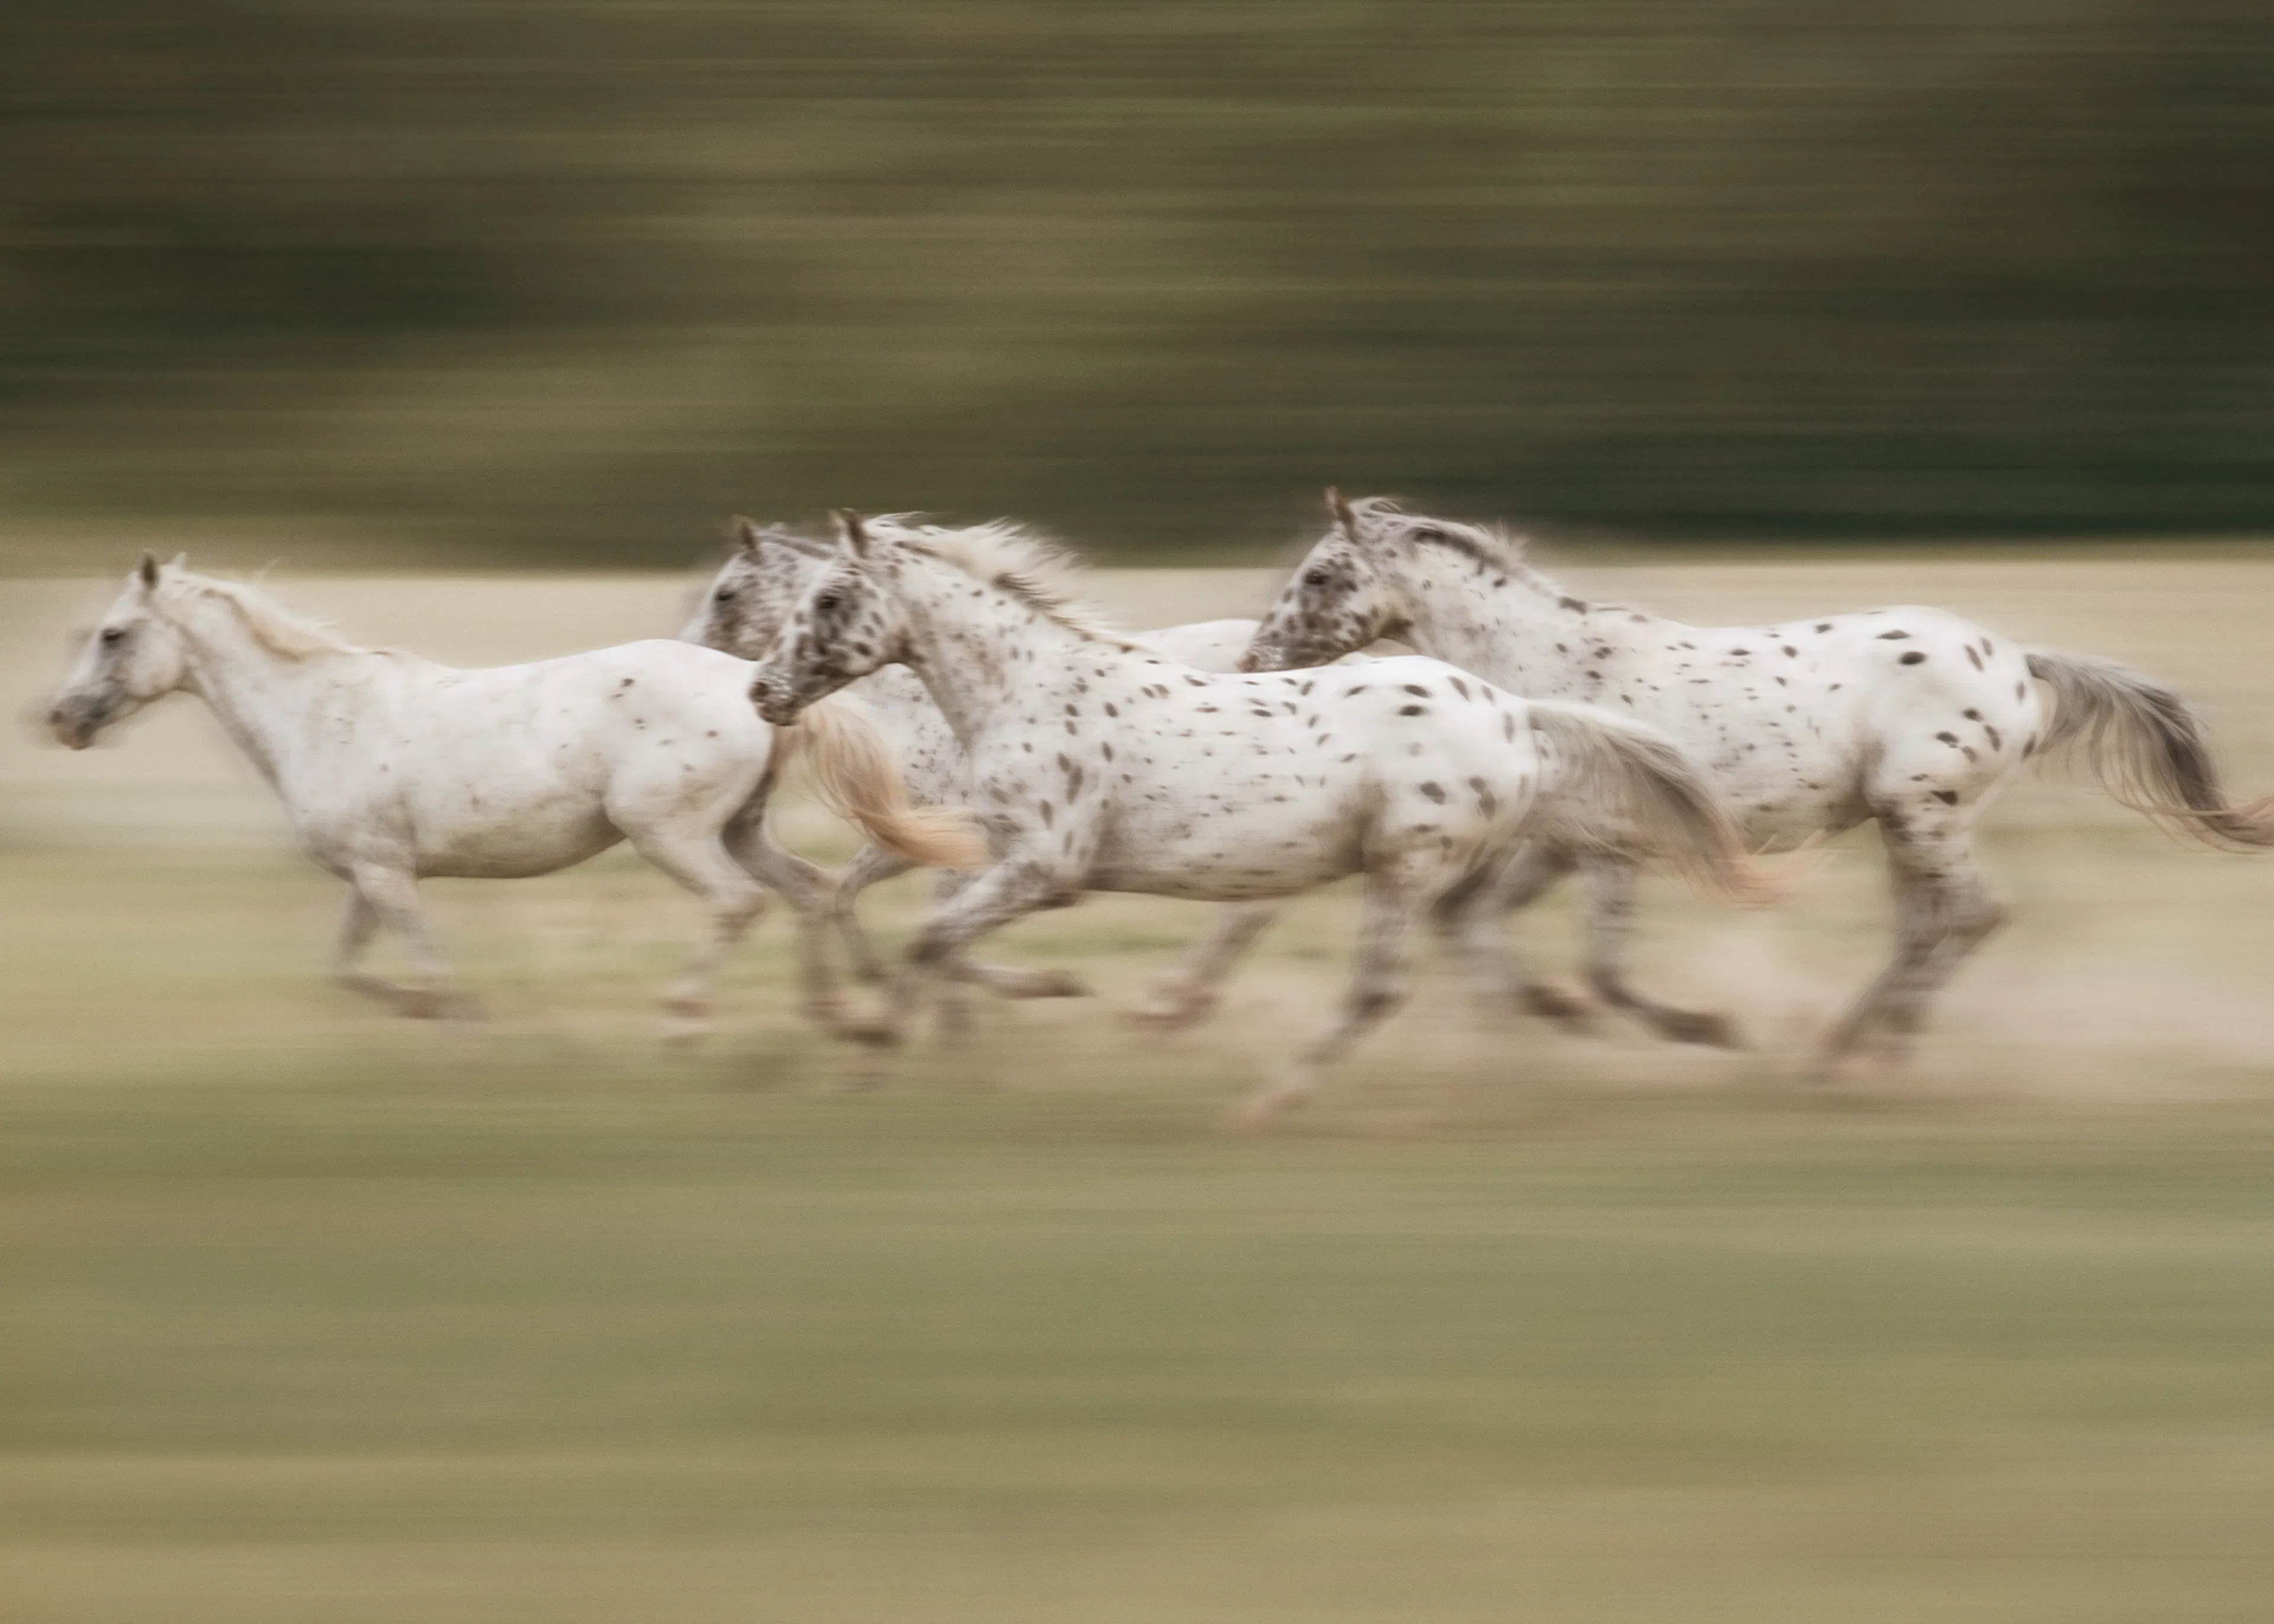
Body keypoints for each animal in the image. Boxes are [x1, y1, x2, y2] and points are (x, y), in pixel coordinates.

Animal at [47, 555, 983, 1034]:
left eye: (113, 634)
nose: (61, 718)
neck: (319, 713)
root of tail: (757, 684)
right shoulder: (371, 874)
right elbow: (351, 969)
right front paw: (449, 1012)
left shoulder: (385, 877)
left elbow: (419, 970)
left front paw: (460, 1022)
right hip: (741, 829)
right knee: (813, 892)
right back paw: (829, 1013)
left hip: (670, 833)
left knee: (738, 904)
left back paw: (686, 1015)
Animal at [683, 517, 1277, 1026]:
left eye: (726, 593)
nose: (757, 690)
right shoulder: (925, 839)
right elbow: (847, 896)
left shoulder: (950, 840)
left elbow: (927, 923)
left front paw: (1000, 1001)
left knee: (1247, 912)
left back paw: (1171, 1003)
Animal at [745, 512, 1765, 1117]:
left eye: (829, 598)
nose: (761, 691)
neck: (1025, 691)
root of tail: (1514, 709)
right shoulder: (991, 849)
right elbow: (929, 933)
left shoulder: (1047, 868)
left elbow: (933, 938)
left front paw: (871, 1050)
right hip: (1441, 868)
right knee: (1471, 954)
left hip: (1408, 863)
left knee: (1378, 988)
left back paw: (1273, 1098)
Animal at [1241, 491, 2274, 1074]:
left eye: (1323, 574)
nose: (1257, 658)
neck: (1543, 670)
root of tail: (2019, 659)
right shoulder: (1557, 843)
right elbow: (1473, 924)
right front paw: (1535, 1026)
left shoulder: (1605, 846)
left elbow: (1603, 965)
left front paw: (1706, 1029)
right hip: (1909, 822)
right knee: (1933, 922)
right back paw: (1854, 1045)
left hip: (1922, 811)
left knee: (1969, 915)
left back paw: (1861, 1055)